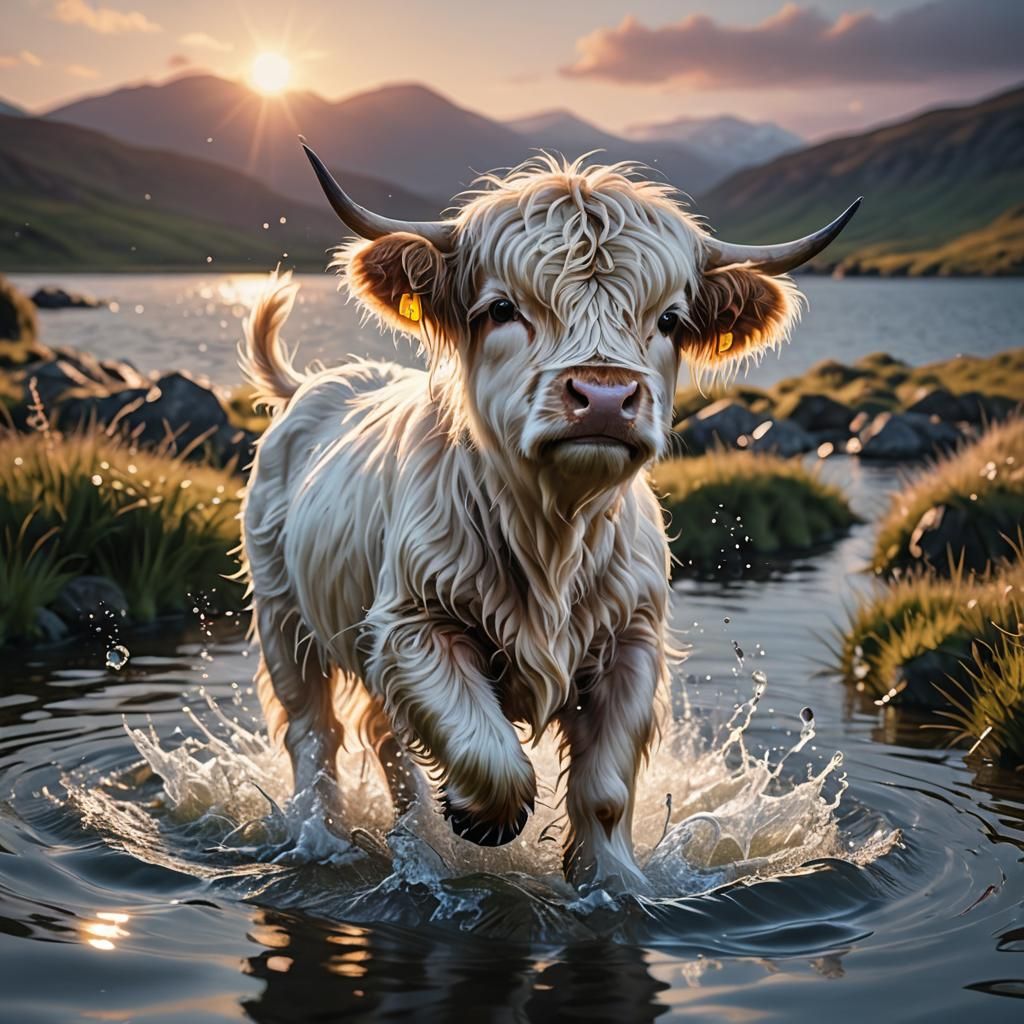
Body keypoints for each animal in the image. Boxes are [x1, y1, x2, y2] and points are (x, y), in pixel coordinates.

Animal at [239, 143, 858, 891]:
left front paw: (613, 882)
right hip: (282, 615)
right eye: (503, 307)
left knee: (386, 739)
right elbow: (491, 753)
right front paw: (478, 817)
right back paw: (321, 836)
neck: (554, 534)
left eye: (670, 321)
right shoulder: (414, 623)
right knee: (313, 734)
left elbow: (606, 791)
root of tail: (315, 384)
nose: (605, 396)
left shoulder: (630, 641)